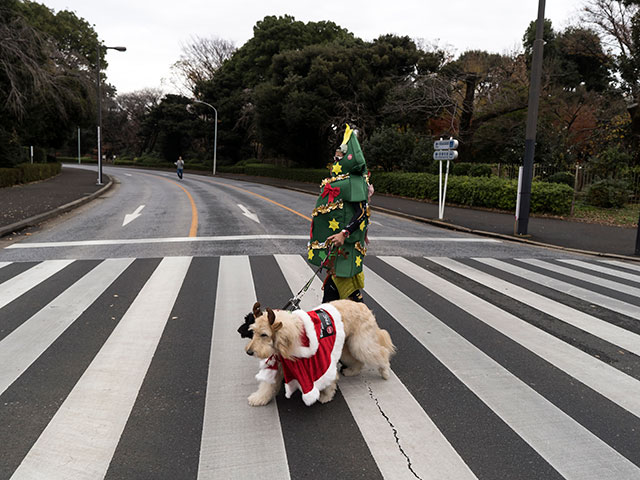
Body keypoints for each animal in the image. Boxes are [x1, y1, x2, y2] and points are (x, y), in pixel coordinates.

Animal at [245, 300, 396, 404]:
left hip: (361, 344)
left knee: (381, 353)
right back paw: (352, 371)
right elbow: (267, 385)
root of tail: (362, 306)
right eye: (253, 332)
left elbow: (328, 381)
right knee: (358, 361)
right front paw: (259, 398)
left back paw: (385, 371)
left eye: (264, 334)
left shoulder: (321, 362)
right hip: (347, 346)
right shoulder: (280, 362)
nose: (249, 352)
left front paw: (326, 396)